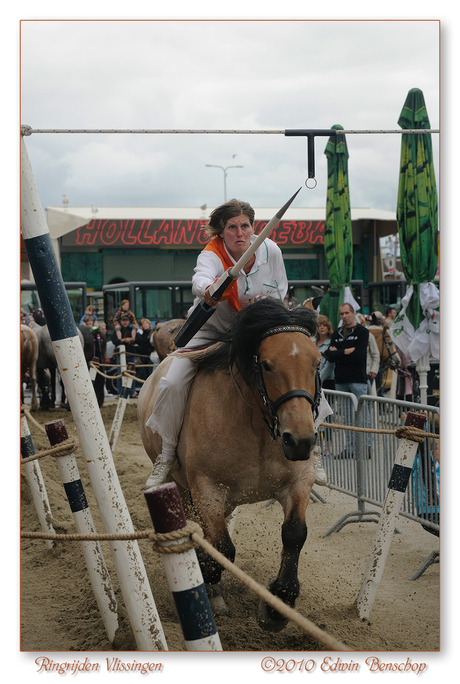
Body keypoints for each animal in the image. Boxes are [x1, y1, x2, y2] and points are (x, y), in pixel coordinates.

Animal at [138, 300, 322, 632]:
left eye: (317, 363)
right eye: (266, 365)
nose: (300, 441)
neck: (255, 423)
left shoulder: (299, 481)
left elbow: (294, 533)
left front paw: (279, 603)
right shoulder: (207, 488)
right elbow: (221, 547)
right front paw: (210, 587)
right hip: (181, 485)